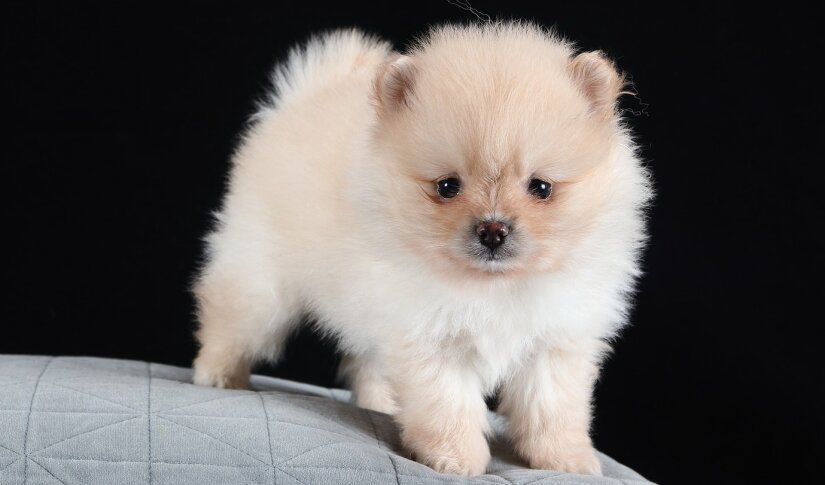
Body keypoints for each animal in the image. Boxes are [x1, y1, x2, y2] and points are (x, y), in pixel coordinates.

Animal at [192, 20, 652, 474]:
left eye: (541, 187)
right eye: (447, 186)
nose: (493, 230)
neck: (493, 285)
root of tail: (303, 96)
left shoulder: (555, 340)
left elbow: (554, 409)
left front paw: (568, 460)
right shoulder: (430, 337)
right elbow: (449, 406)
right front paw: (456, 458)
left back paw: (378, 402)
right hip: (260, 280)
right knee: (232, 321)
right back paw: (216, 374)